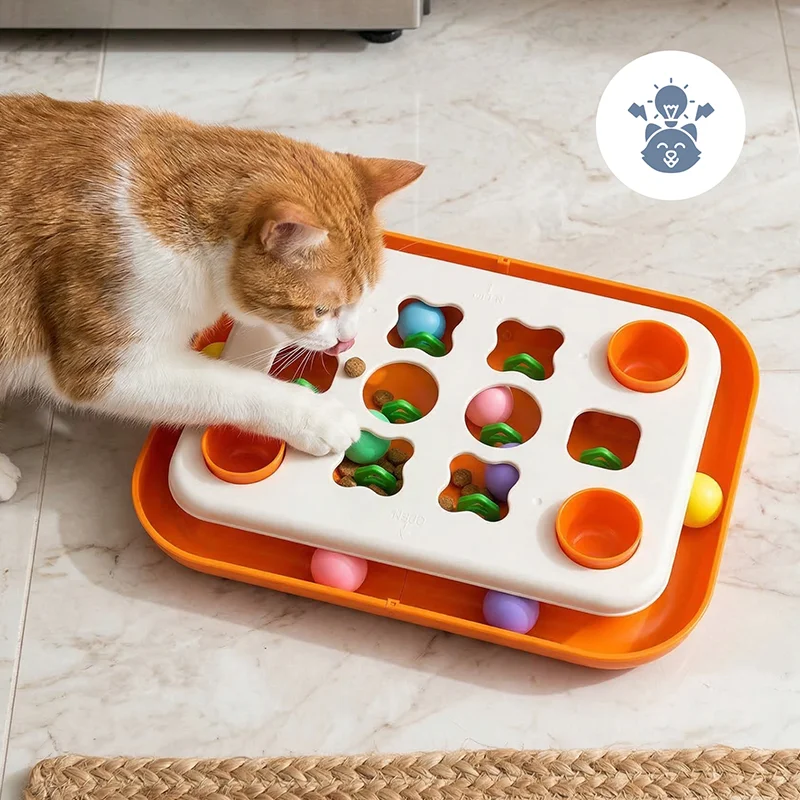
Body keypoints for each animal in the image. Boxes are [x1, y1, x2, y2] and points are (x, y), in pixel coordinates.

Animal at [0, 95, 424, 501]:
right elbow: (228, 385)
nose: (347, 341)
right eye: (320, 310)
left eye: (364, 296)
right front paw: (316, 418)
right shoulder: (101, 369)